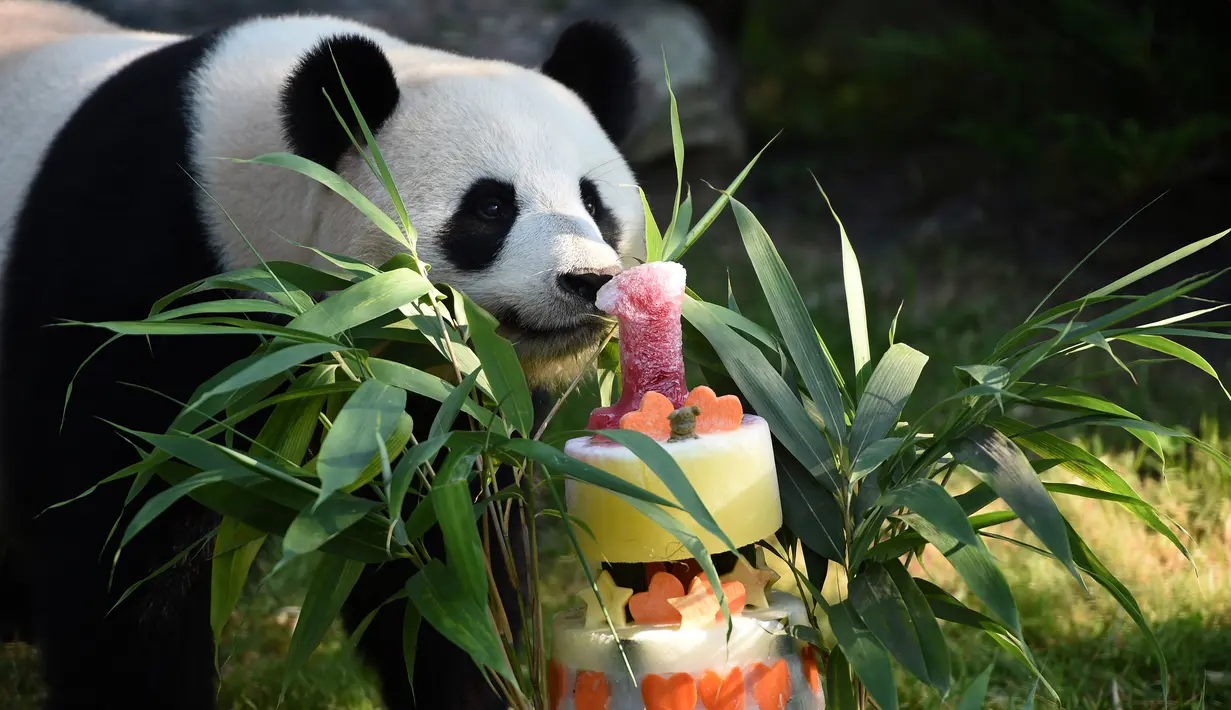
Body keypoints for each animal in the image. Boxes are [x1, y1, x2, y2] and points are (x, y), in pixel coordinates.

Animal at [0, 1, 646, 708]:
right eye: (492, 206)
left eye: (593, 203)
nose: (587, 282)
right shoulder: (137, 284)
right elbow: (126, 529)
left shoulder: (434, 400)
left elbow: (446, 541)